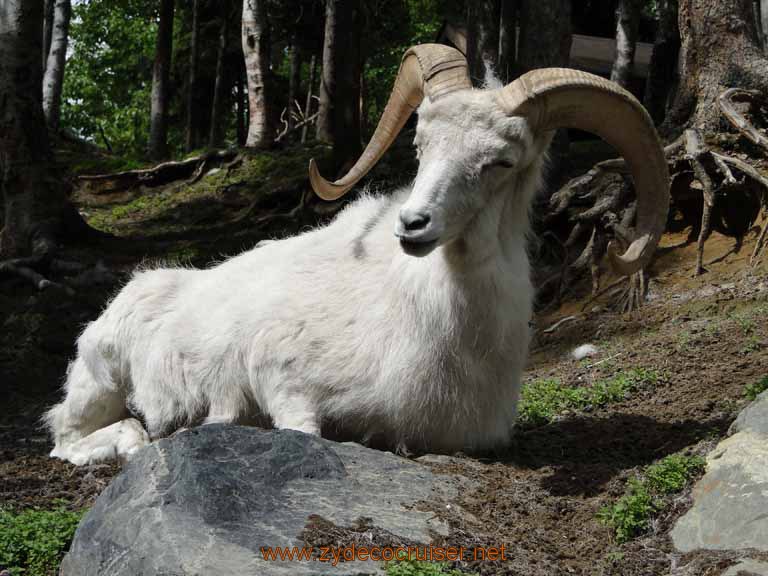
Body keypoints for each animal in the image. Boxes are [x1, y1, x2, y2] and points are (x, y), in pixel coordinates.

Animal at [45, 46, 668, 468]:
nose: (413, 225)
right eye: (420, 143)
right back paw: (141, 438)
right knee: (70, 438)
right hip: (100, 384)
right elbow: (299, 432)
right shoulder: (279, 376)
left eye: (502, 161)